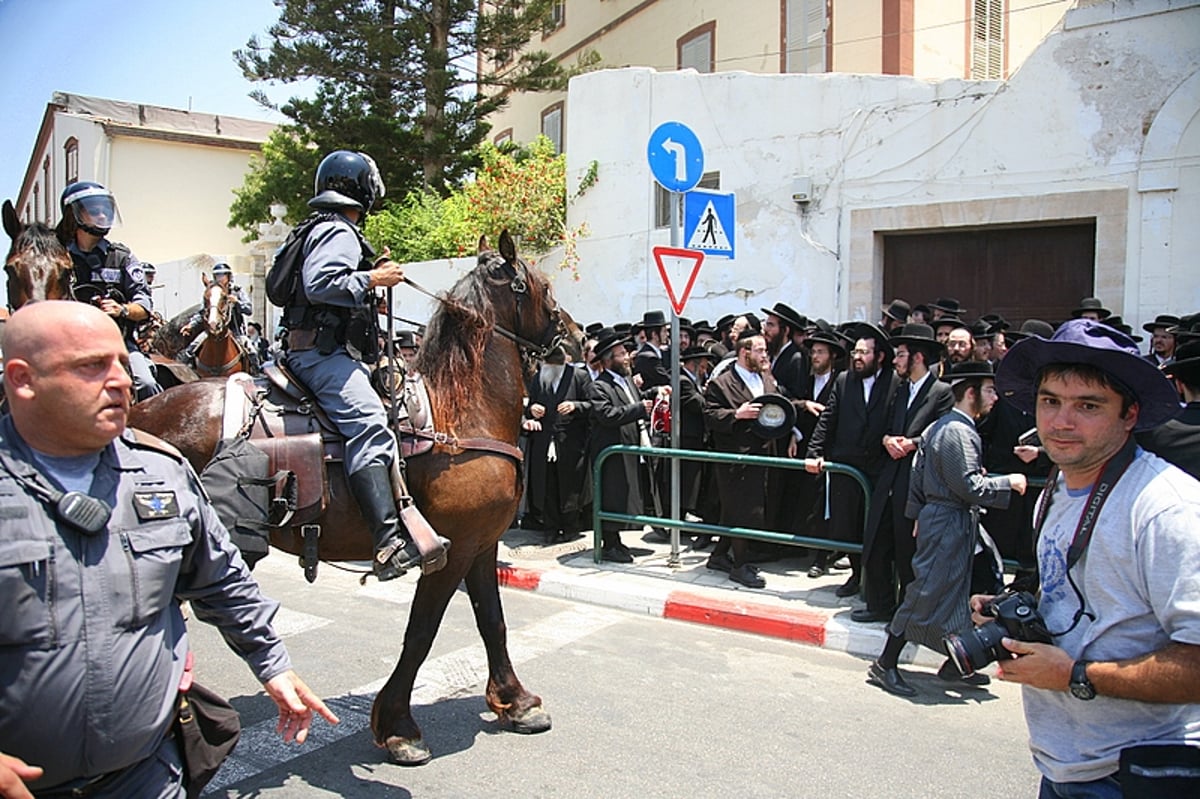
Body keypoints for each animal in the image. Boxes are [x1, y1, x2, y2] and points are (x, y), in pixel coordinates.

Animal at [130, 229, 576, 758]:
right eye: (544, 287)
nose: (576, 337)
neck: (460, 414)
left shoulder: (481, 544)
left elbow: (493, 621)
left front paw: (516, 703)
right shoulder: (450, 552)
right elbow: (421, 632)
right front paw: (398, 726)